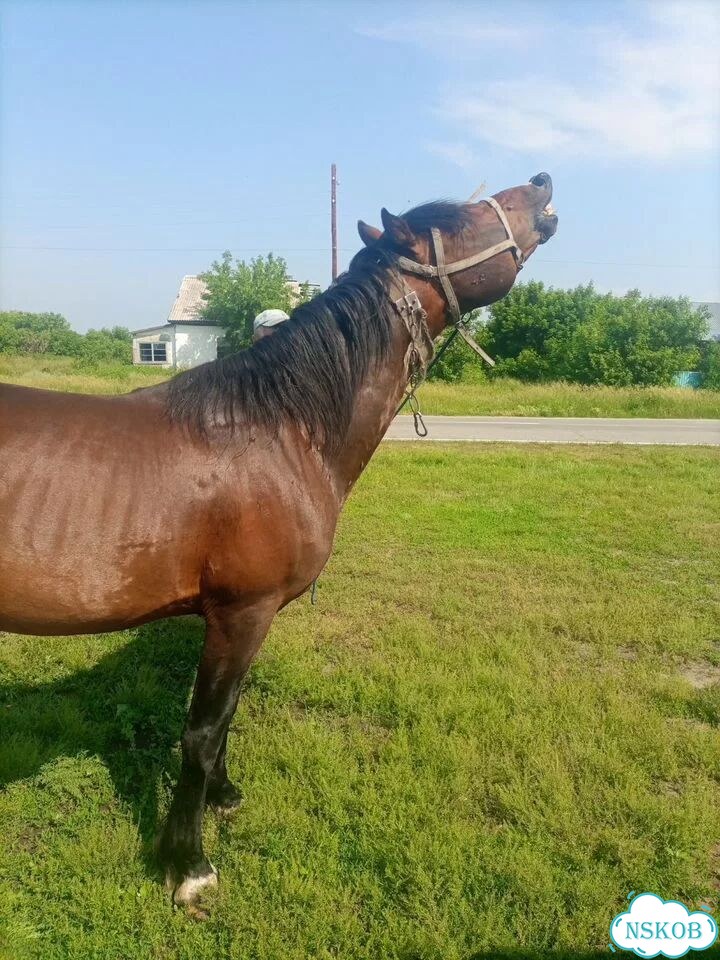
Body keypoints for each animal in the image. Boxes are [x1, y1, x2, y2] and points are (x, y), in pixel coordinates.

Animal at [0, 174, 558, 917]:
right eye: (461, 219)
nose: (541, 186)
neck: (277, 430)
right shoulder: (243, 613)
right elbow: (202, 730)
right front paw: (188, 863)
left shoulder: (239, 620)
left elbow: (223, 719)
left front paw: (223, 797)